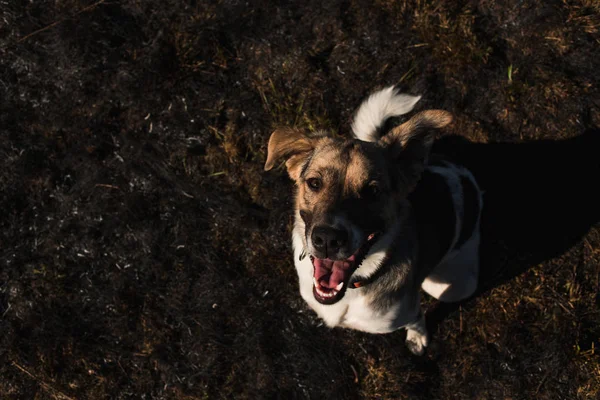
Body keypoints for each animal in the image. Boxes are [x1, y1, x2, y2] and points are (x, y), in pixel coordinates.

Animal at [262, 86, 482, 354]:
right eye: (314, 183)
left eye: (372, 191)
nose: (328, 239)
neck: (354, 285)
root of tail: (463, 175)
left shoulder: (407, 312)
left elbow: (417, 319)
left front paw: (417, 337)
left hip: (451, 287)